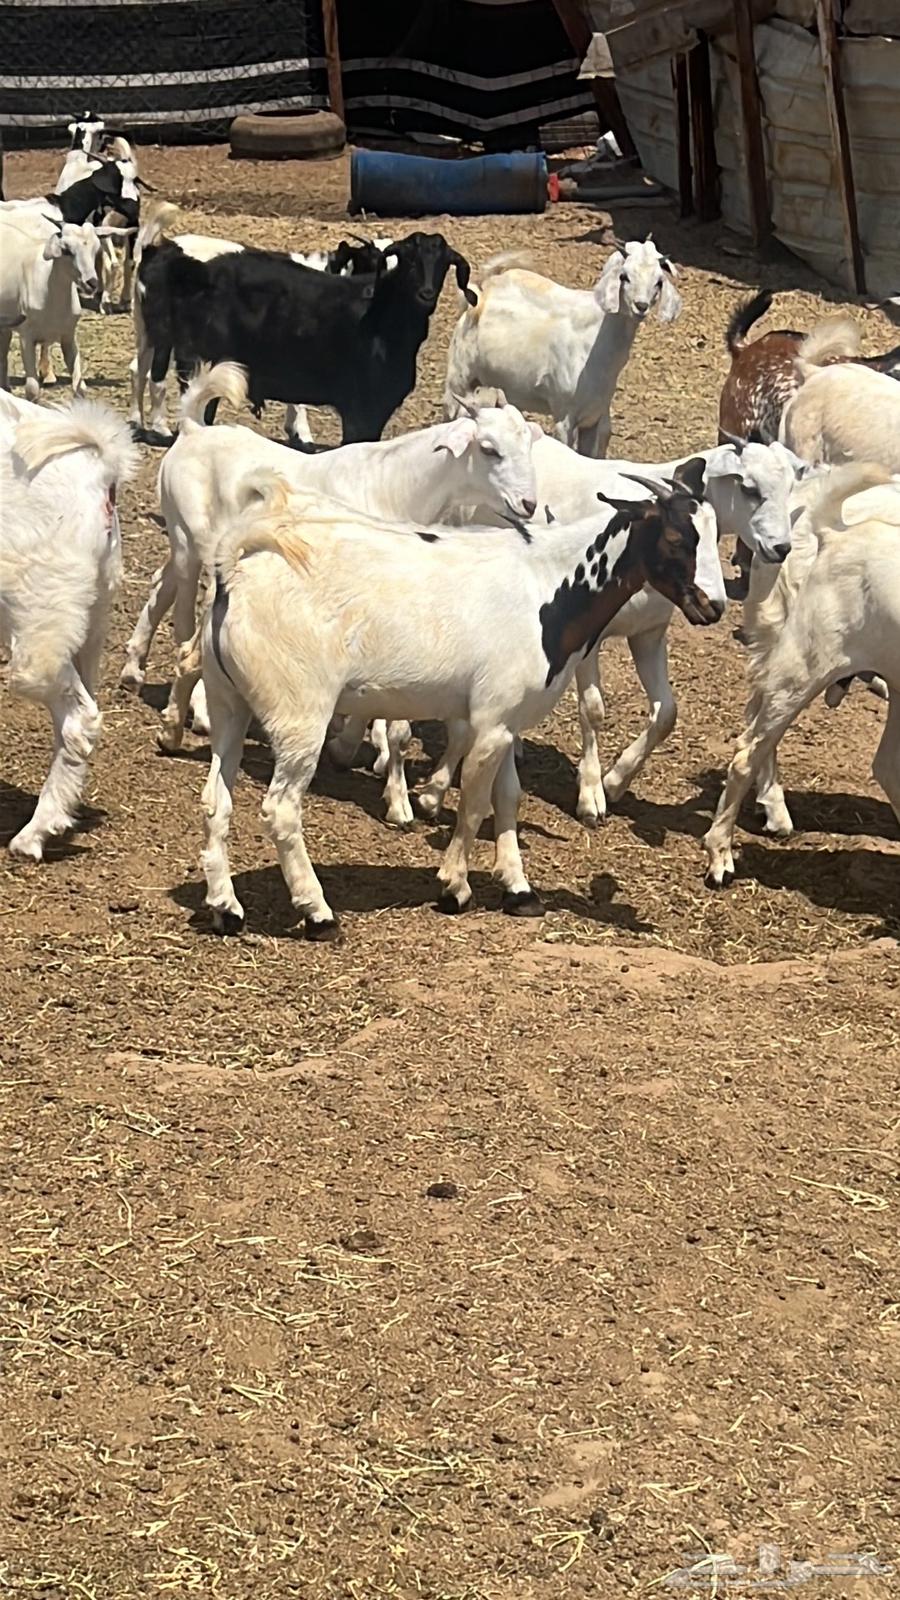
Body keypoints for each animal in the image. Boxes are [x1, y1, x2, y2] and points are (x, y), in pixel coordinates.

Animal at [192, 475, 718, 938]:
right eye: (676, 537)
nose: (713, 606)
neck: (546, 585)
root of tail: (234, 568)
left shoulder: (505, 718)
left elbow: (508, 797)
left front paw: (519, 890)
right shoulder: (491, 723)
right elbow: (474, 803)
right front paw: (454, 886)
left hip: (228, 702)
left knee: (216, 799)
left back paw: (226, 908)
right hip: (300, 714)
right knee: (281, 809)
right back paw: (318, 912)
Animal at [444, 238, 681, 458]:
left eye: (659, 281)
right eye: (624, 276)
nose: (641, 306)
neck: (596, 342)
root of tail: (480, 297)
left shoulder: (594, 417)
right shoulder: (564, 416)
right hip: (458, 378)